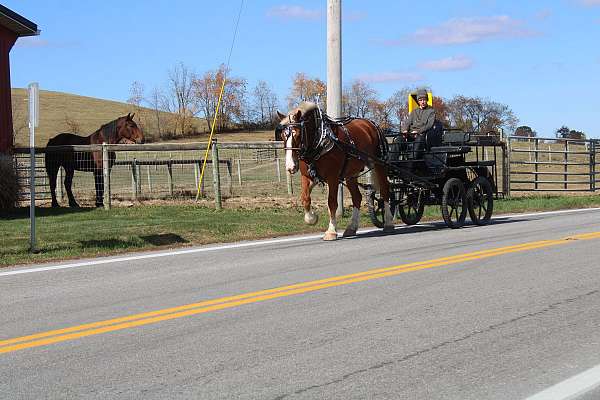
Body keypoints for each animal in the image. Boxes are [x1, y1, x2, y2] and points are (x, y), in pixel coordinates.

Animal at [276, 102, 394, 241]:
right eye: (283, 136)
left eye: (298, 134)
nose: (290, 166)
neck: (320, 139)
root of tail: (372, 124)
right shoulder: (307, 176)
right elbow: (305, 198)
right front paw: (312, 218)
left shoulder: (332, 178)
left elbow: (331, 202)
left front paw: (331, 231)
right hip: (351, 174)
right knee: (357, 197)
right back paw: (352, 227)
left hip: (380, 164)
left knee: (385, 191)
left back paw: (388, 223)